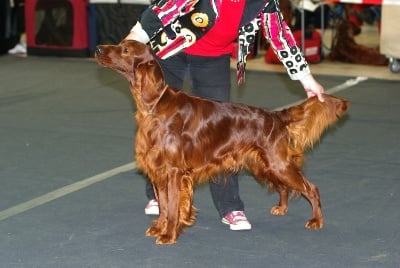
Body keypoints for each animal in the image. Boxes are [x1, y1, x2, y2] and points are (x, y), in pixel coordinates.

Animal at [95, 40, 348, 245]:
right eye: (120, 44)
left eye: (125, 50)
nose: (97, 49)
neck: (155, 105)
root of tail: (274, 116)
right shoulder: (158, 170)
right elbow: (164, 206)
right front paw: (160, 227)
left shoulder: (174, 171)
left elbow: (174, 207)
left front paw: (169, 235)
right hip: (266, 164)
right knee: (284, 186)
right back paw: (282, 208)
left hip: (278, 163)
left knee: (311, 188)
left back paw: (316, 220)